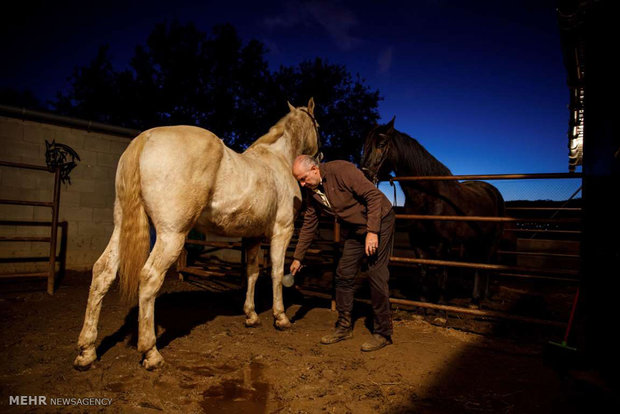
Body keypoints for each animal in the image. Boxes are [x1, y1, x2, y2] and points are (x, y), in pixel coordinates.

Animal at [74, 98, 320, 370]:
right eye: (318, 125)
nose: (319, 154)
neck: (277, 160)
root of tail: (144, 139)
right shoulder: (282, 230)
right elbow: (276, 272)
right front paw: (281, 317)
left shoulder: (252, 235)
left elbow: (252, 272)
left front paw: (251, 315)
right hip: (172, 234)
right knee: (149, 278)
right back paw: (151, 353)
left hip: (121, 227)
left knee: (102, 272)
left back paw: (87, 351)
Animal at [358, 118, 504, 306]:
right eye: (365, 145)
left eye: (382, 144)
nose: (364, 175)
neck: (429, 196)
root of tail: (492, 190)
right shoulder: (418, 241)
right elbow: (423, 269)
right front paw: (422, 305)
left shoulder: (444, 243)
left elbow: (441, 270)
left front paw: (440, 306)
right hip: (474, 240)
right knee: (477, 265)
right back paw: (475, 298)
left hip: (491, 240)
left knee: (485, 264)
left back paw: (480, 298)